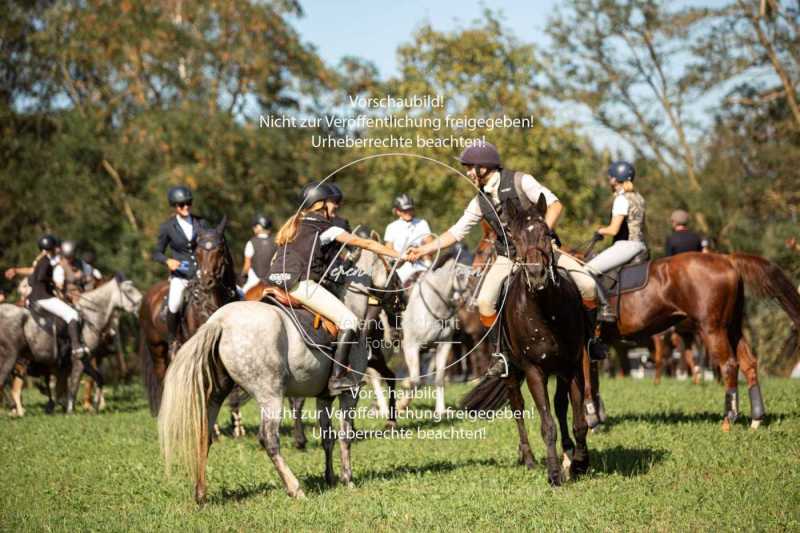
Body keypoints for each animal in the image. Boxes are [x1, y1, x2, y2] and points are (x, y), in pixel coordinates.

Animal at [0, 276, 142, 418]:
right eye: (129, 290)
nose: (141, 303)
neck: (89, 318)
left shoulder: (83, 362)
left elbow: (97, 379)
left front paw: (95, 406)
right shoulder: (77, 362)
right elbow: (73, 386)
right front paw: (69, 411)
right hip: (11, 359)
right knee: (8, 386)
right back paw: (17, 410)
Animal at [138, 218, 236, 414]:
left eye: (220, 250)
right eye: (197, 252)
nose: (206, 281)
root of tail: (148, 296)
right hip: (157, 348)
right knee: (162, 377)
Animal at [157, 247, 390, 500]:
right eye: (389, 268)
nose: (399, 303)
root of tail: (220, 321)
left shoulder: (324, 397)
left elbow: (327, 437)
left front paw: (330, 478)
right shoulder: (351, 392)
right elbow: (345, 436)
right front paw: (348, 480)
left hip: (217, 394)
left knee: (204, 434)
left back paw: (200, 493)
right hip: (270, 394)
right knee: (268, 439)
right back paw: (295, 488)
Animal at [396, 258, 472, 416]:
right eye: (461, 276)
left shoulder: (444, 346)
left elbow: (439, 378)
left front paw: (441, 411)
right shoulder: (411, 347)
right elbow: (416, 381)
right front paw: (400, 405)